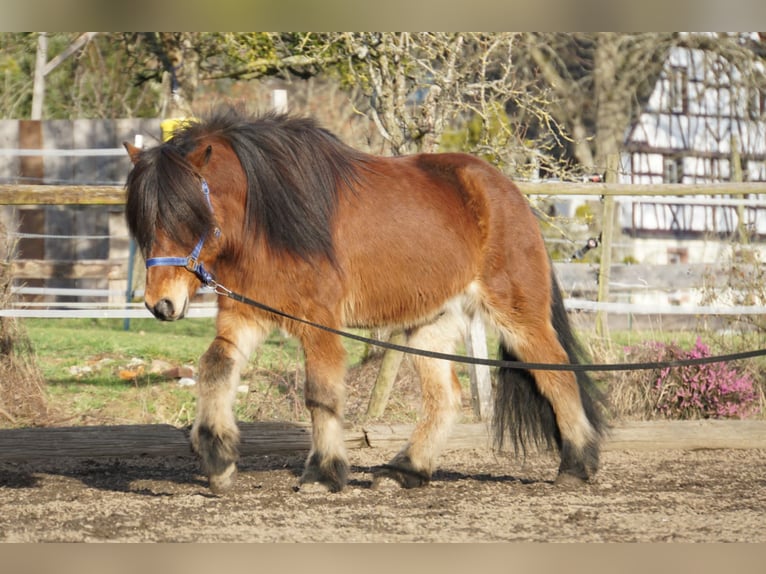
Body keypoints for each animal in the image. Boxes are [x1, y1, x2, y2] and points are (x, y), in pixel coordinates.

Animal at [124, 107, 608, 496]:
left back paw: (576, 465)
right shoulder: (244, 315)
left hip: (517, 313)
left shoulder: (318, 322)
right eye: (145, 223)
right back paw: (407, 470)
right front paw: (219, 461)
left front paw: (323, 473)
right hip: (430, 324)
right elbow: (214, 370)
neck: (269, 218)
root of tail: (505, 191)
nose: (159, 304)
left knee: (556, 373)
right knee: (446, 398)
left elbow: (320, 395)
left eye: (187, 216)